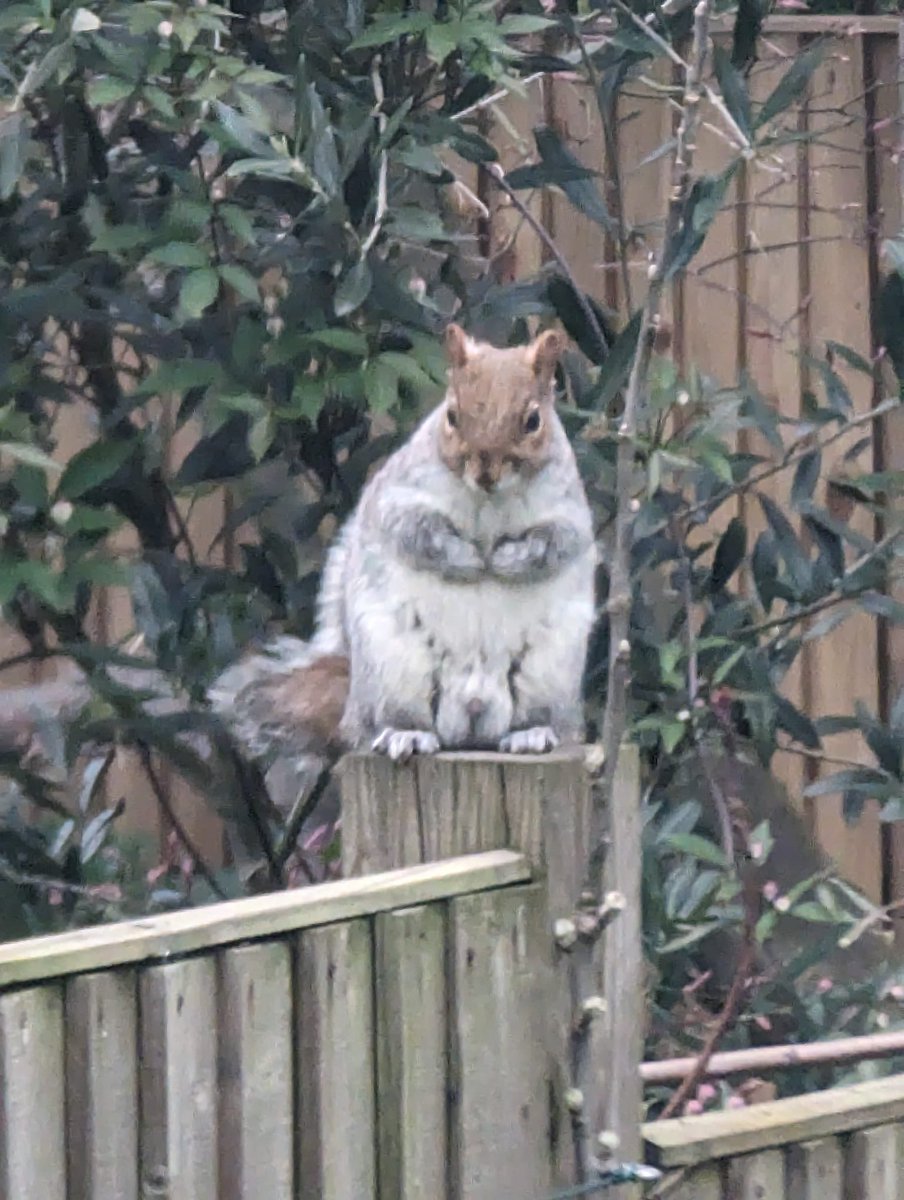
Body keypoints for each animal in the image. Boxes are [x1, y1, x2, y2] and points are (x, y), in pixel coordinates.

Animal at [207, 328, 595, 796]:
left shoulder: (569, 512)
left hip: (547, 674)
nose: (485, 472)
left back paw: (531, 734)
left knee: (531, 718)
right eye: (451, 415)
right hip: (394, 669)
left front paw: (508, 559)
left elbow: (555, 543)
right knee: (398, 721)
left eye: (533, 421)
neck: (489, 502)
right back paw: (404, 734)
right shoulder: (399, 496)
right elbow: (416, 533)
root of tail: (473, 717)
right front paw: (467, 558)